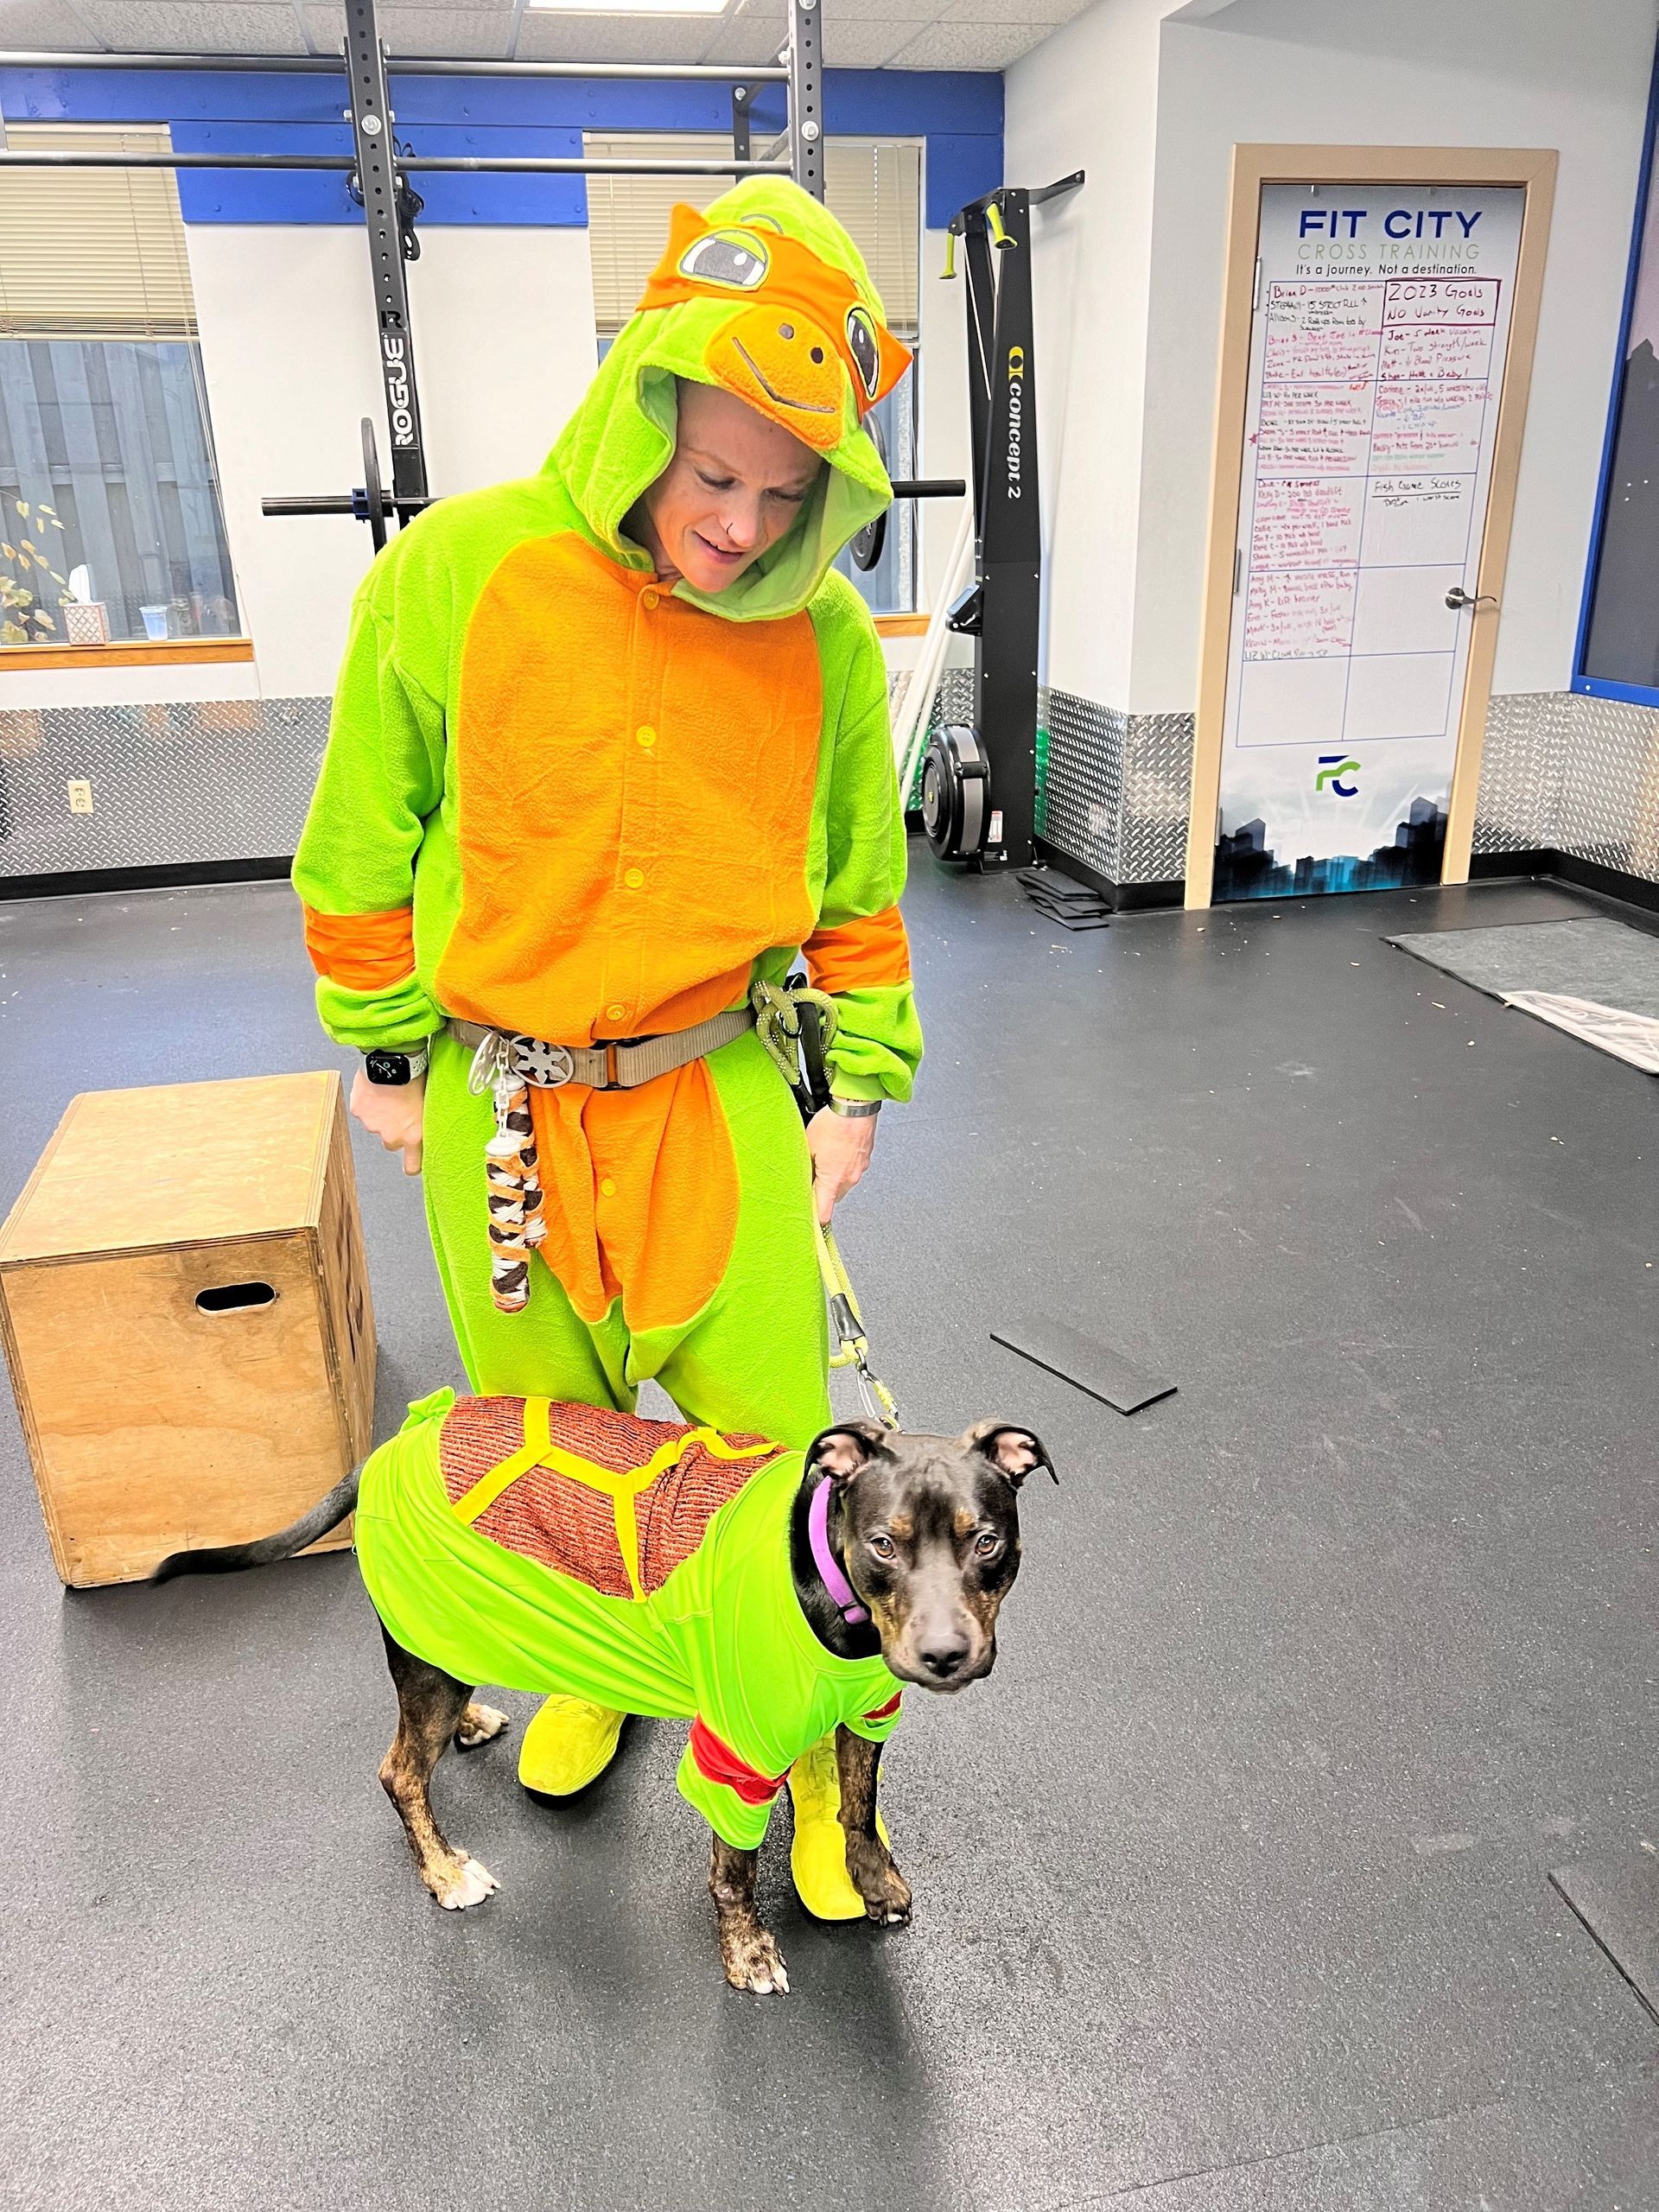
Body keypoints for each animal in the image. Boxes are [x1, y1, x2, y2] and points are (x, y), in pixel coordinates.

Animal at [153, 1393, 1054, 1995]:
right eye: (883, 1544)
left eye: (986, 1542)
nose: (945, 1656)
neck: (830, 1591)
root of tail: (391, 1444)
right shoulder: (735, 1757)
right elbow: (734, 1869)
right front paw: (747, 1952)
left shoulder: (867, 1712)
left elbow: (857, 1805)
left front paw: (872, 1879)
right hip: (426, 1662)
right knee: (399, 1771)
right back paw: (444, 1872)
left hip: (446, 1635)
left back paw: (470, 1723)